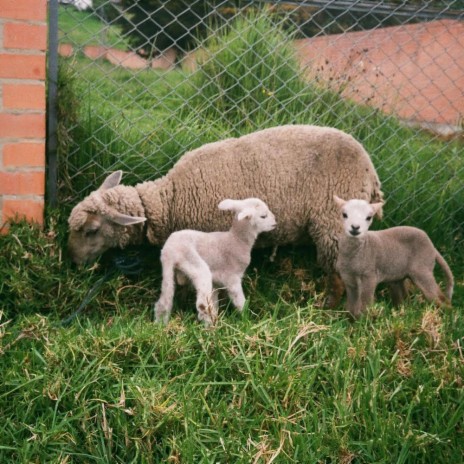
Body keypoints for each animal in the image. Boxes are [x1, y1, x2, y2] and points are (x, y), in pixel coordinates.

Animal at [67, 125, 382, 310]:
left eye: (91, 230)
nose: (73, 263)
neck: (170, 201)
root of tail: (369, 168)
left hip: (332, 223)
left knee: (337, 272)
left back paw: (328, 306)